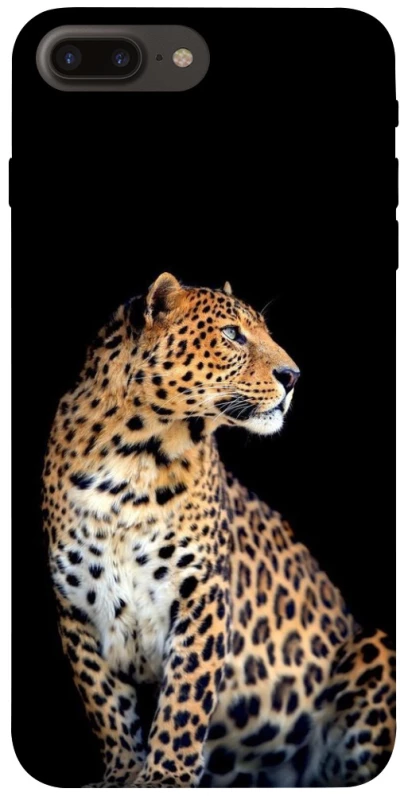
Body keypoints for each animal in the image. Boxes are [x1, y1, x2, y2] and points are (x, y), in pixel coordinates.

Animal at [42, 273, 396, 788]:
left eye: (266, 332)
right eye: (232, 335)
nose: (293, 377)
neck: (132, 458)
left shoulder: (201, 592)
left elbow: (185, 697)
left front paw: (164, 777)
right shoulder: (76, 607)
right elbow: (105, 702)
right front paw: (122, 775)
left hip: (375, 646)